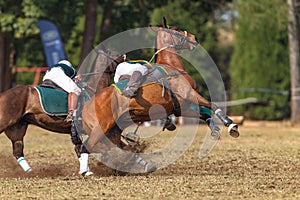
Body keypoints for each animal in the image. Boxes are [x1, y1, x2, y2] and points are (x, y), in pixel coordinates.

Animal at [79, 19, 239, 173]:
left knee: (107, 146)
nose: (194, 37)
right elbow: (212, 104)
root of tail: (84, 108)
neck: (173, 66)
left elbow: (204, 113)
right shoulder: (189, 93)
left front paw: (216, 130)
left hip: (113, 128)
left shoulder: (181, 107)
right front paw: (230, 124)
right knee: (88, 146)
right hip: (101, 128)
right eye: (176, 29)